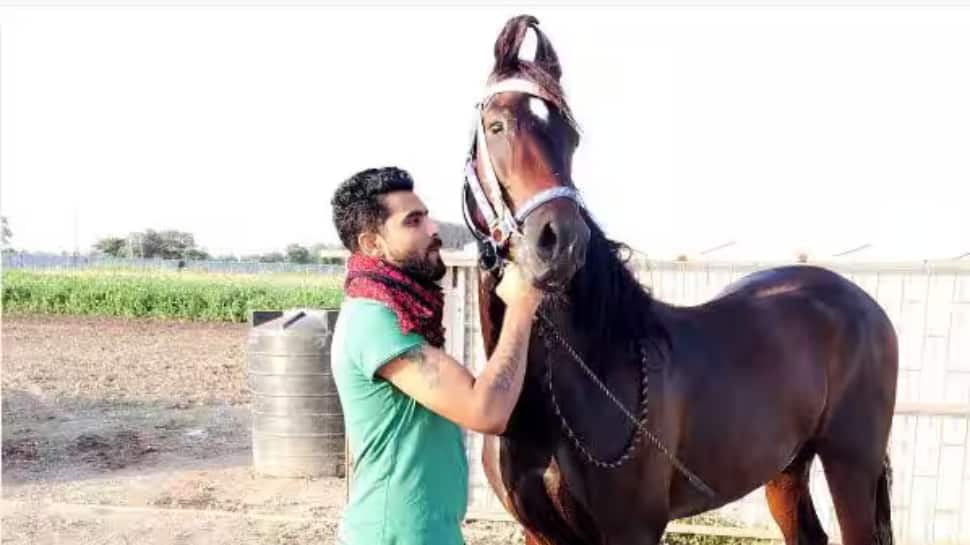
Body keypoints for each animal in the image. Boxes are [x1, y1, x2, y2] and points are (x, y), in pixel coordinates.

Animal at [462, 15, 898, 545]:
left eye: (571, 136)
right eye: (496, 125)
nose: (560, 242)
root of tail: (864, 306)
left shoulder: (633, 530)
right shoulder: (538, 533)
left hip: (851, 467)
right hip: (787, 470)